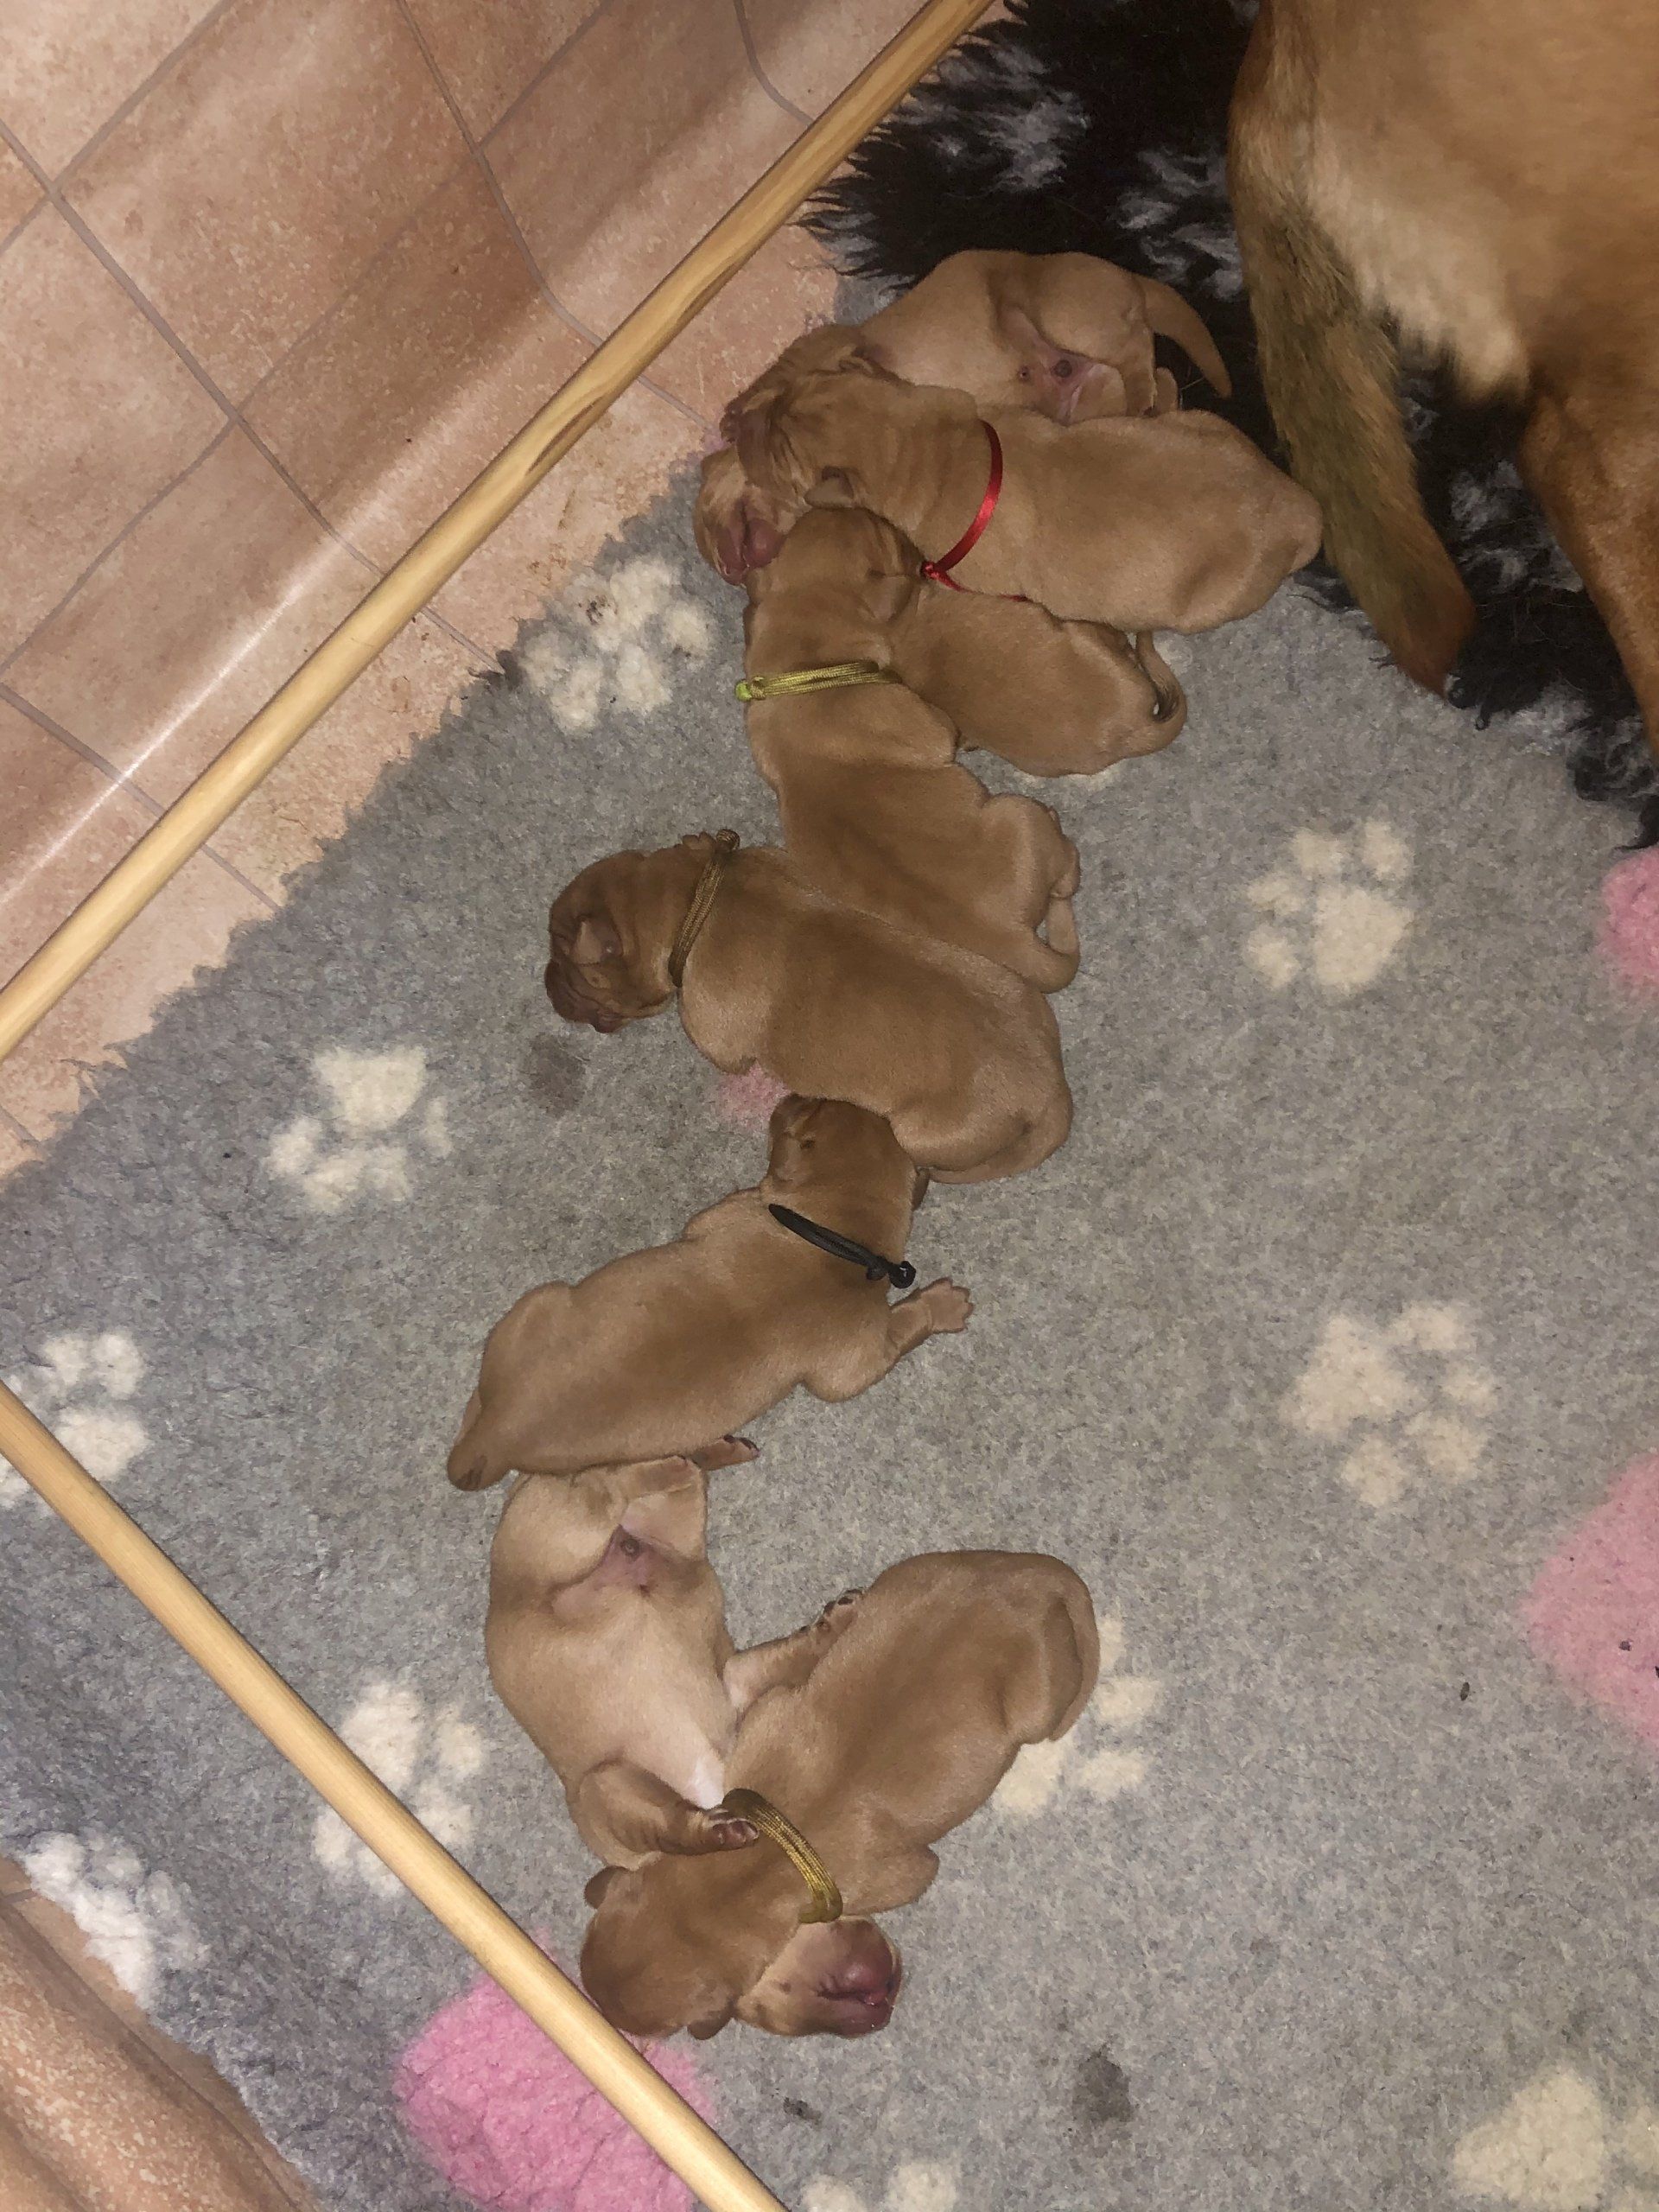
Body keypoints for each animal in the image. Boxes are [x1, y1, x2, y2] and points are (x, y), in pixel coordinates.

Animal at [448, 1094, 967, 1490]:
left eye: (812, 1107)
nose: (794, 1093)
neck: (838, 1244)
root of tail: (495, 1438)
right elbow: (904, 1325)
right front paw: (940, 1304)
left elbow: (906, 1323)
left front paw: (938, 1305)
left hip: (542, 1312)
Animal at [543, 836, 1073, 1182]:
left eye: (563, 963)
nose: (545, 981)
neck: (695, 899)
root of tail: (1050, 1087)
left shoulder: (717, 1039)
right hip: (1019, 989)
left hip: (920, 1132)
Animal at [579, 1549, 1099, 2040]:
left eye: (756, 2012)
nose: (879, 2015)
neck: (762, 1863)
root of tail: (1038, 1576)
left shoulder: (908, 1876)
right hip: (909, 1576)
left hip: (1036, 1708)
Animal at [733, 368, 1322, 634]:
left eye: (780, 448)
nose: (742, 417)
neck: (928, 447)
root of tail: (1300, 510)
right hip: (1209, 427)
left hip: (1207, 607)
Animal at [741, 509, 1082, 989]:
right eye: (886, 538)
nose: (918, 556)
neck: (810, 668)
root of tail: (1010, 936)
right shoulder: (931, 722)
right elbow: (944, 729)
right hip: (1020, 815)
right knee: (1065, 871)